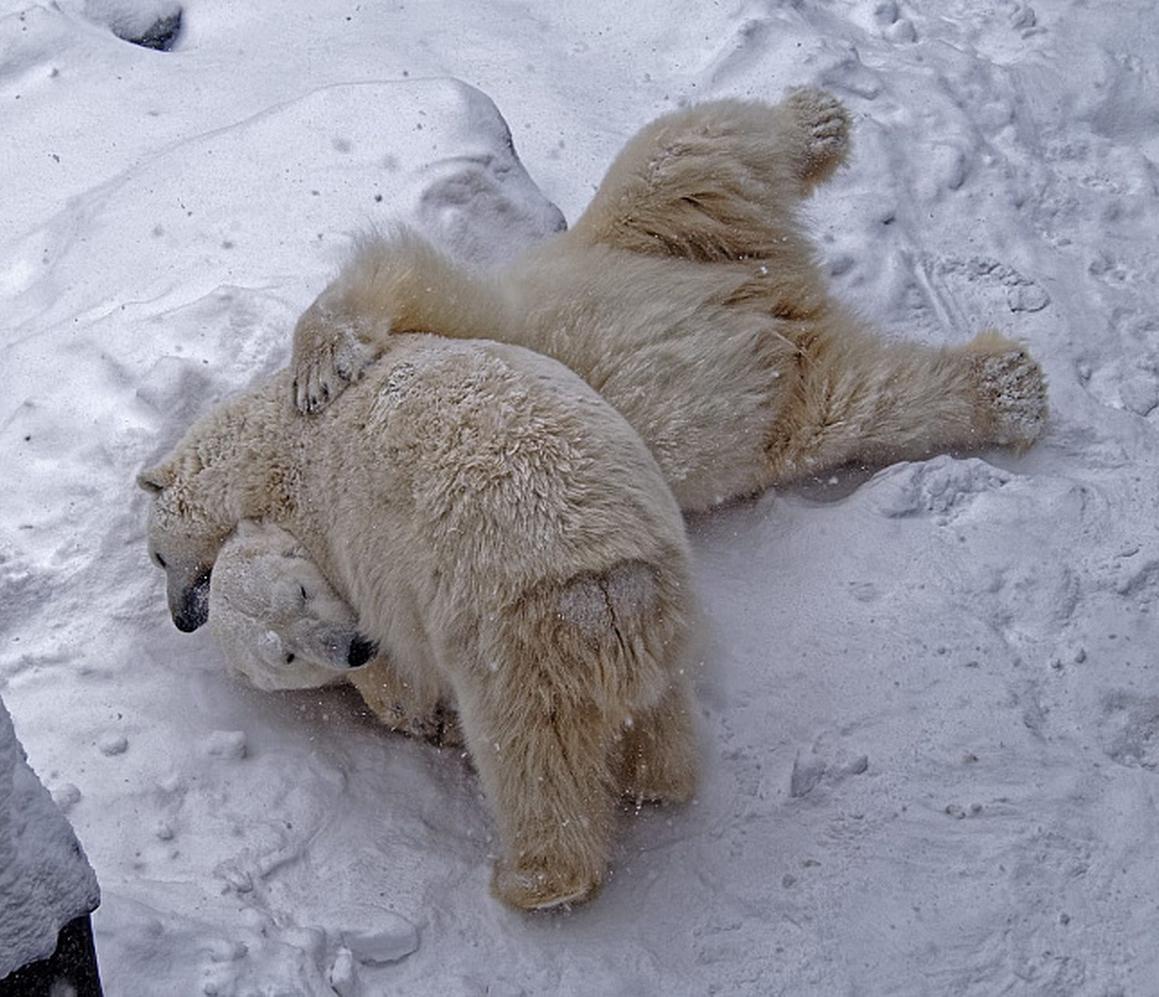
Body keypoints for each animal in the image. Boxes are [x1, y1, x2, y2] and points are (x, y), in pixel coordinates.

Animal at [135, 333, 695, 913]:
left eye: (158, 557)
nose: (182, 620)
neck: (260, 444)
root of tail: (603, 572)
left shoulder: (330, 532)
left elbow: (386, 656)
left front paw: (412, 709)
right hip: (660, 591)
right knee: (659, 709)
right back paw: (655, 779)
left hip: (510, 628)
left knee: (526, 750)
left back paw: (530, 879)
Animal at [292, 88, 1052, 510]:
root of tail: (772, 287)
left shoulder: (494, 314)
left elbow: (411, 277)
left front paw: (319, 373)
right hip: (787, 401)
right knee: (876, 398)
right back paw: (1009, 386)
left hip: (646, 226)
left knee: (690, 145)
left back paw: (817, 123)